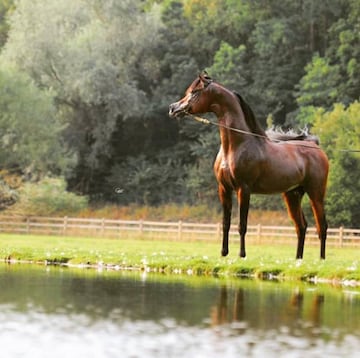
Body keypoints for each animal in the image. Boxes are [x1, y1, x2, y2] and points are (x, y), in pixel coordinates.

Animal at [169, 71, 330, 258]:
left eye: (195, 92)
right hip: (292, 195)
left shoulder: (243, 189)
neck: (236, 146)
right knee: (301, 226)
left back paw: (321, 260)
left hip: (316, 193)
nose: (173, 108)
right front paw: (224, 253)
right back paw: (298, 259)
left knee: (322, 226)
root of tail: (315, 146)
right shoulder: (224, 189)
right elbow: (226, 223)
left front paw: (242, 254)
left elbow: (242, 225)